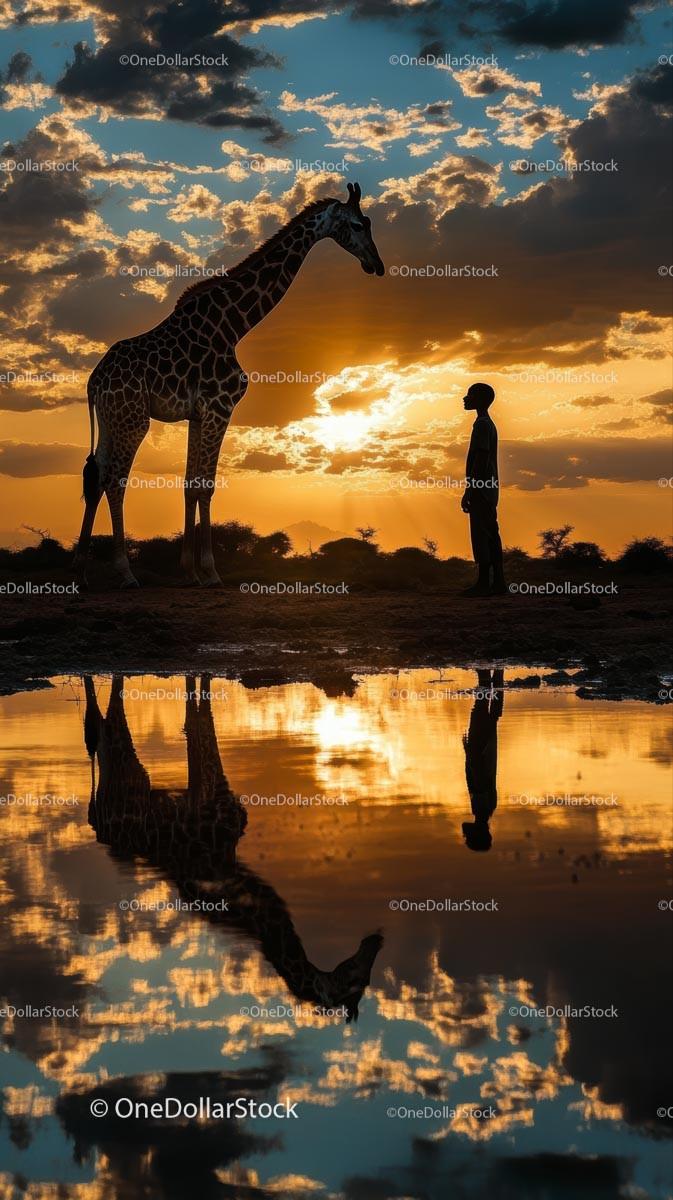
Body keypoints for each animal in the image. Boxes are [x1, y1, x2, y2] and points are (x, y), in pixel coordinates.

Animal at [73, 182, 385, 588]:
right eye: (358, 225)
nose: (376, 265)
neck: (235, 325)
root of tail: (94, 381)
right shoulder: (220, 406)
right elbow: (205, 484)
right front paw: (210, 571)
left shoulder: (197, 414)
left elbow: (190, 484)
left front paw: (189, 571)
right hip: (133, 420)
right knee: (115, 480)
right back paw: (125, 573)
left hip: (111, 418)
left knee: (95, 475)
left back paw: (80, 571)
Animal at [83, 674, 383, 1019]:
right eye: (357, 982)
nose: (376, 941)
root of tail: (97, 821)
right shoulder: (210, 793)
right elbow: (198, 724)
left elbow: (200, 704)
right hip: (127, 769)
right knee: (109, 724)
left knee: (98, 727)